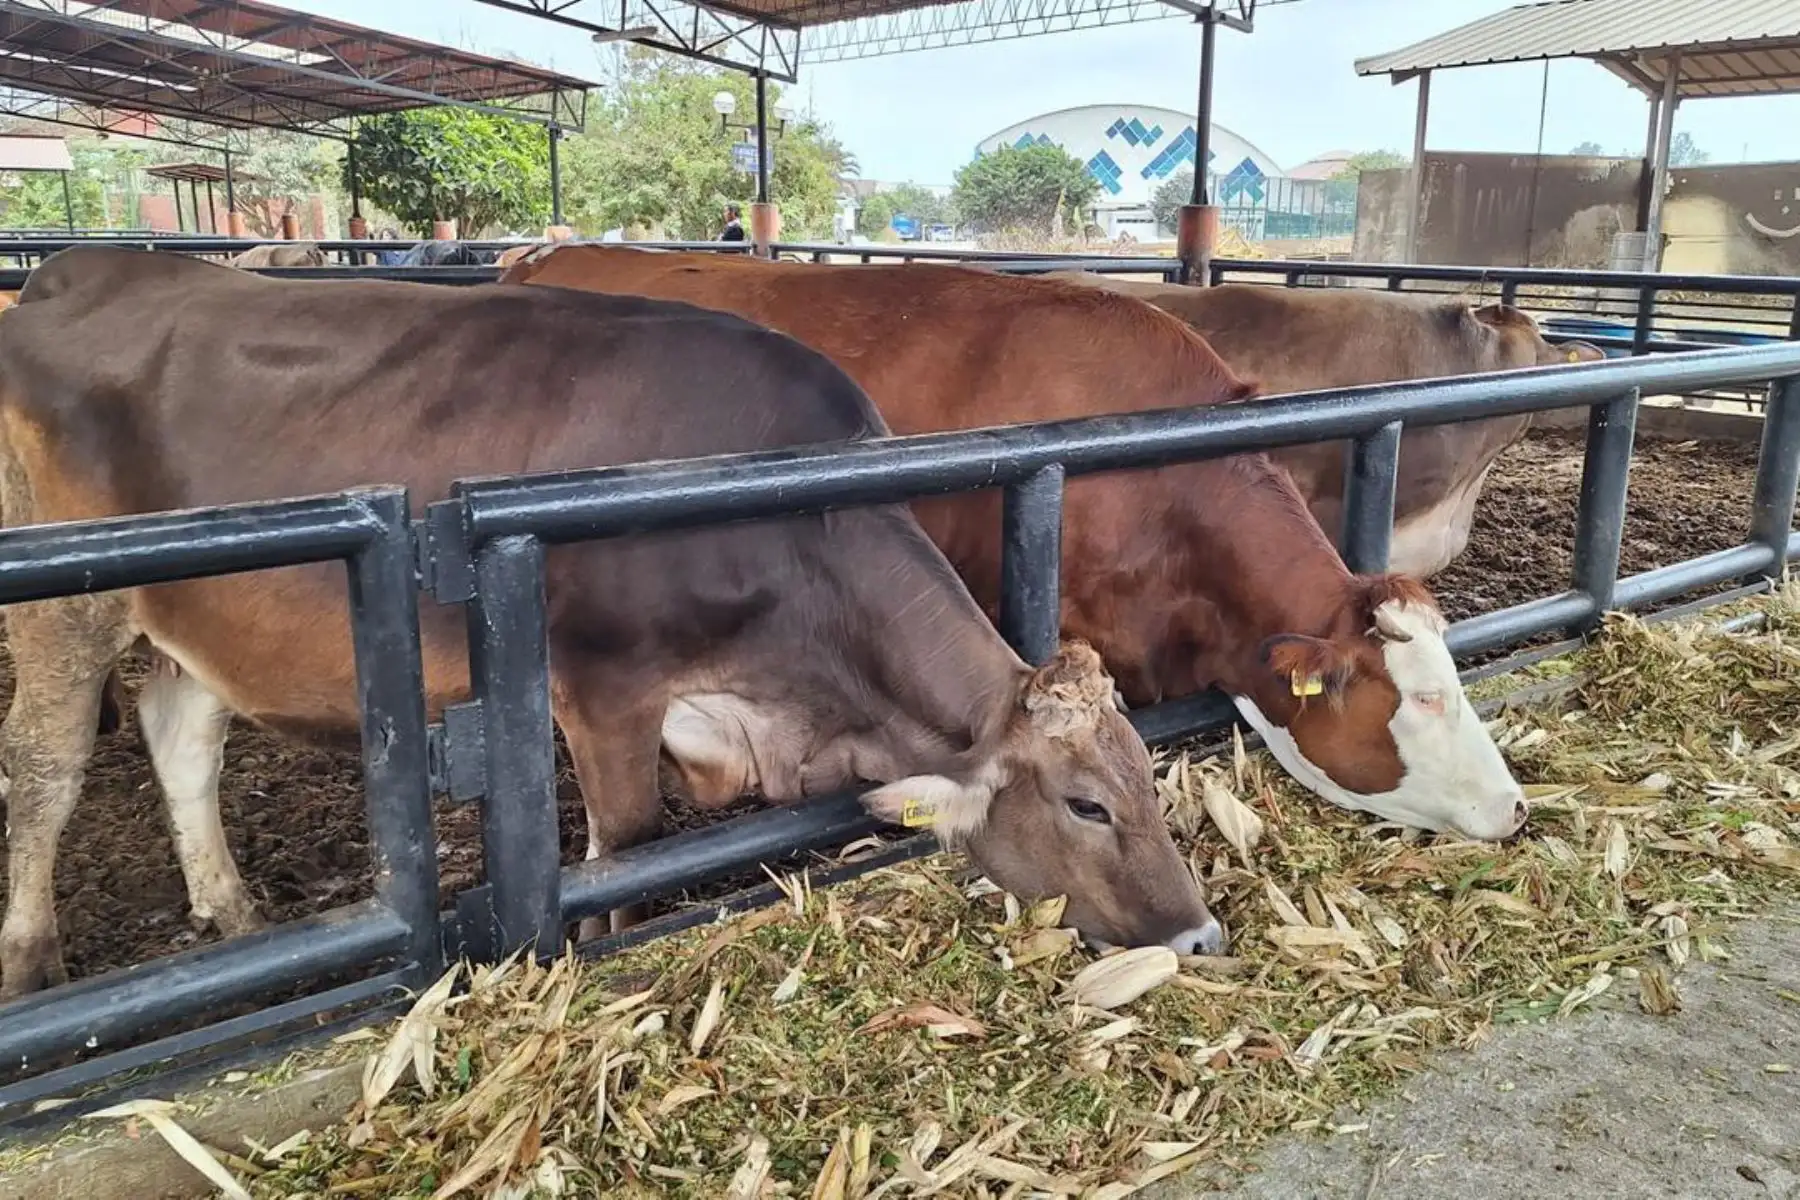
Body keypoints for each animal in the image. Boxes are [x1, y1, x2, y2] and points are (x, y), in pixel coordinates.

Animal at [0, 246, 1218, 998]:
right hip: (66, 603)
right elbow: (619, 847)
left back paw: (234, 915)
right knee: (46, 767)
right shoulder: (603, 690)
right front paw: (590, 948)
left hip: (196, 612)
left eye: (1149, 777)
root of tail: (78, 270)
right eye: (1086, 804)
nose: (1199, 932)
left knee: (182, 739)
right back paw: (34, 965)